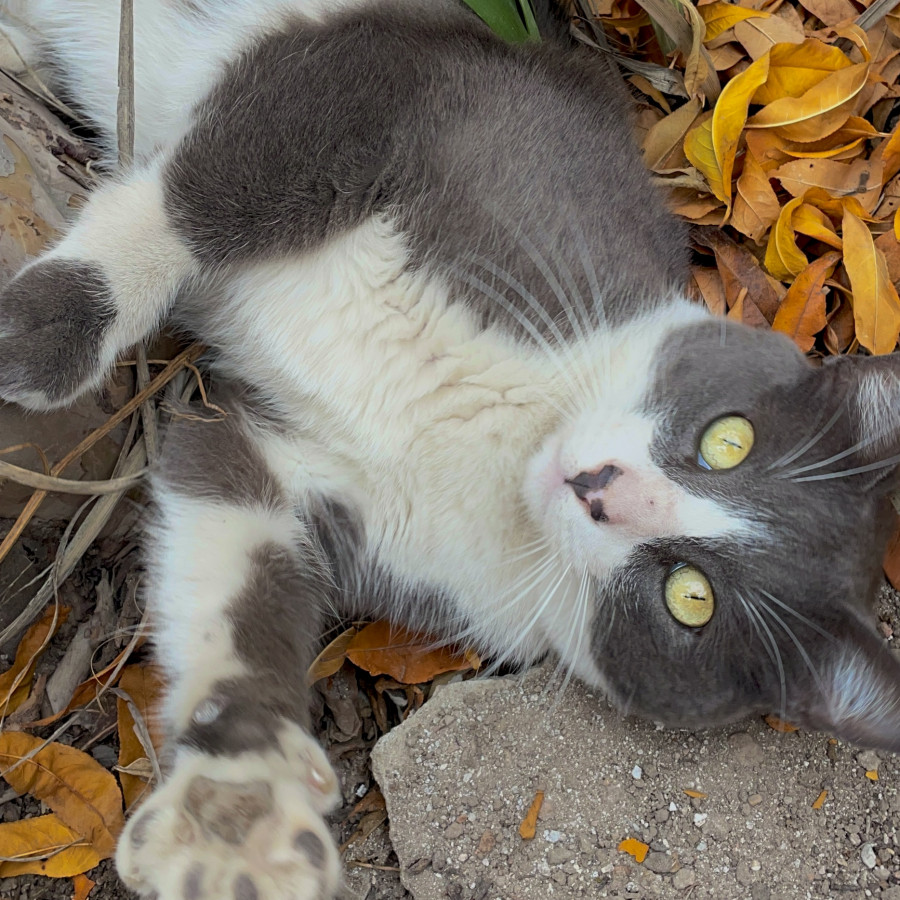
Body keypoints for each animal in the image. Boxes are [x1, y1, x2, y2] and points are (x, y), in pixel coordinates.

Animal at [1, 0, 900, 896]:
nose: (597, 486)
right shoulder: (434, 85)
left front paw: (239, 811)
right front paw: (45, 329)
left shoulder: (333, 503)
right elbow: (217, 187)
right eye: (728, 438)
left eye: (690, 599)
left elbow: (234, 563)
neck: (510, 433)